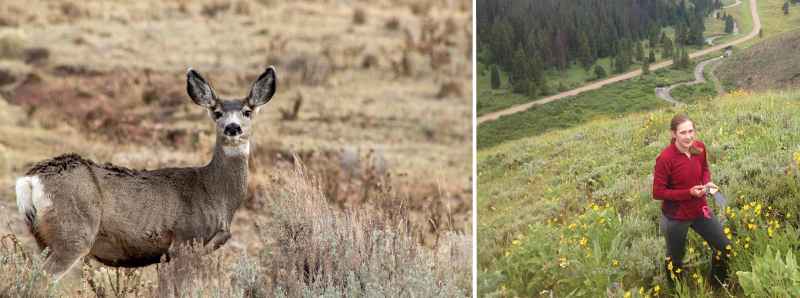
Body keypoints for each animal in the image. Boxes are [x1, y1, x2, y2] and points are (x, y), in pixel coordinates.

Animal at [13, 66, 278, 280]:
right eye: (217, 112)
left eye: (247, 111)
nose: (233, 128)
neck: (215, 192)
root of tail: (30, 179)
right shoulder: (184, 242)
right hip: (73, 234)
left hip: (43, 238)